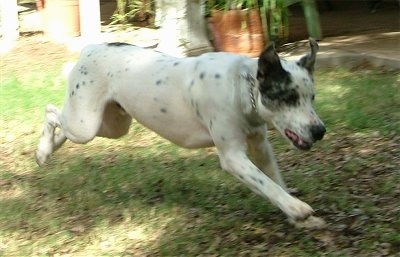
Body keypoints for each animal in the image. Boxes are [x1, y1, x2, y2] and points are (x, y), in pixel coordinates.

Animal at [36, 37, 326, 226]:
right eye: (288, 97)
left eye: (311, 97)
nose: (320, 130)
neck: (241, 88)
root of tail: (90, 48)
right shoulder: (233, 157)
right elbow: (266, 184)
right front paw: (297, 208)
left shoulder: (260, 147)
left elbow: (275, 181)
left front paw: (295, 216)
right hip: (84, 123)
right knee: (50, 111)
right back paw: (42, 150)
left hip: (111, 124)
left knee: (64, 123)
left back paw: (49, 150)